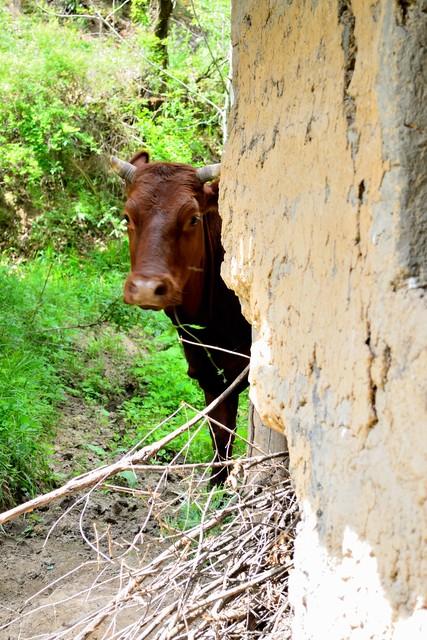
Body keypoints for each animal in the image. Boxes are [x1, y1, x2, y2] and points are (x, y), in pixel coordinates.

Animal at [112, 152, 252, 482]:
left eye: (193, 218)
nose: (147, 288)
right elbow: (220, 438)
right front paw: (216, 487)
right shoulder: (209, 375)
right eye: (127, 217)